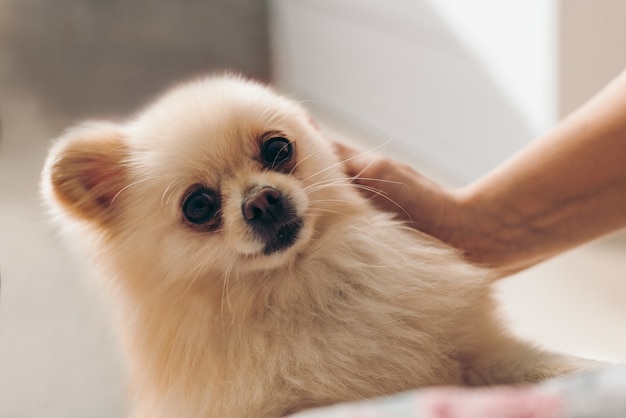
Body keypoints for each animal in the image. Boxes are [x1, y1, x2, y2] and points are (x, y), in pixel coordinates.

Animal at [41, 76, 588, 418]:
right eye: (198, 206)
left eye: (278, 148)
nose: (262, 200)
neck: (299, 284)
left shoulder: (482, 353)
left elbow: (552, 369)